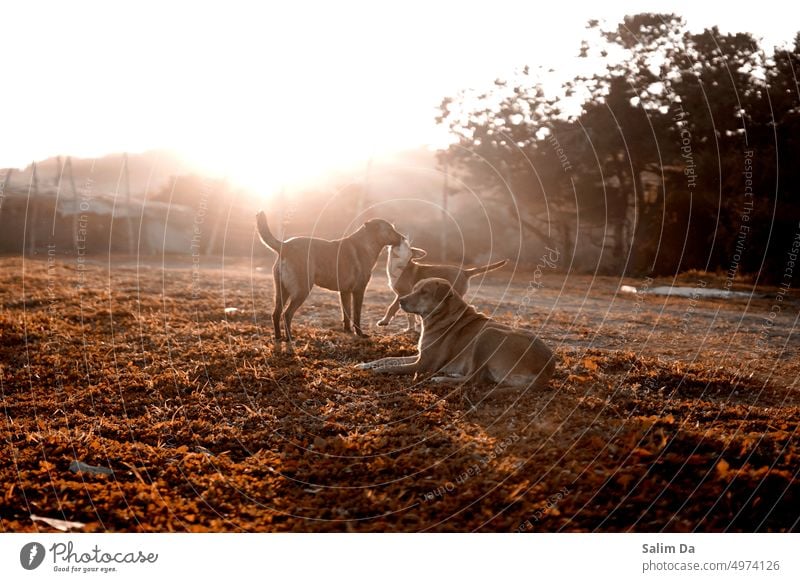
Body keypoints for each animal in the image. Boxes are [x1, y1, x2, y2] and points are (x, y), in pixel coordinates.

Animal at [258, 211, 406, 344]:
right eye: (391, 230)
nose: (404, 237)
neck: (367, 243)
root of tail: (285, 246)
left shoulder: (345, 292)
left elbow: (346, 314)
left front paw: (348, 331)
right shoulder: (358, 291)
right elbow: (356, 315)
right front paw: (360, 334)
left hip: (282, 291)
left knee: (276, 313)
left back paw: (278, 337)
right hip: (302, 290)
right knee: (287, 314)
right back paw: (289, 338)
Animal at [358, 280, 556, 390]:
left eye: (424, 292)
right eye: (415, 289)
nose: (400, 301)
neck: (443, 316)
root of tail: (546, 368)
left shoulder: (424, 364)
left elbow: (396, 367)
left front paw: (378, 370)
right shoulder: (420, 355)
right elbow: (388, 358)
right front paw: (364, 364)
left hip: (487, 334)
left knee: (474, 379)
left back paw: (441, 378)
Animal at [376, 240, 506, 334]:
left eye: (405, 244)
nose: (398, 239)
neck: (399, 265)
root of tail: (464, 271)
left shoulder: (403, 293)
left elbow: (394, 308)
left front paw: (386, 322)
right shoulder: (405, 295)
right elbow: (409, 313)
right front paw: (414, 326)